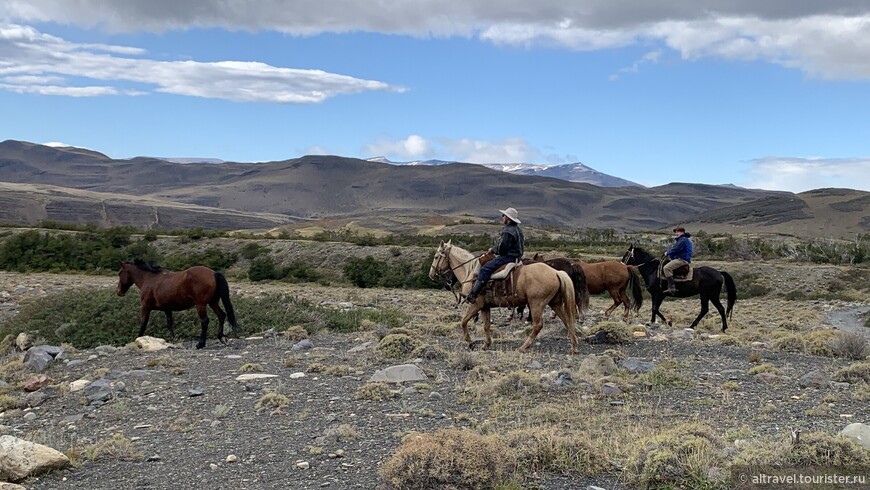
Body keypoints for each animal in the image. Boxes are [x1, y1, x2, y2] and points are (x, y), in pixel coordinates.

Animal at [428, 240, 580, 352]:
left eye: (436, 257)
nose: (431, 274)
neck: (471, 273)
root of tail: (556, 272)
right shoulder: (485, 306)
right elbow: (486, 326)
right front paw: (486, 344)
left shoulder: (475, 304)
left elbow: (463, 322)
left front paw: (471, 343)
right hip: (555, 303)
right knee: (567, 320)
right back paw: (574, 345)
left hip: (536, 304)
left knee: (538, 325)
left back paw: (523, 347)